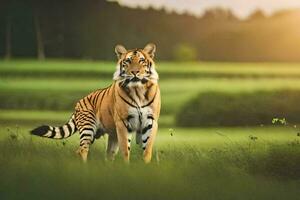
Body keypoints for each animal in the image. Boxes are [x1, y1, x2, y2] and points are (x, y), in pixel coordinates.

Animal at [30, 43, 161, 162]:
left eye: (141, 60)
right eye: (128, 61)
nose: (135, 72)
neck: (138, 90)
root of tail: (79, 102)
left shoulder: (150, 121)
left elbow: (147, 149)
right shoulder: (123, 122)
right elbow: (125, 150)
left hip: (109, 135)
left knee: (106, 153)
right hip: (88, 128)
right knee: (82, 150)